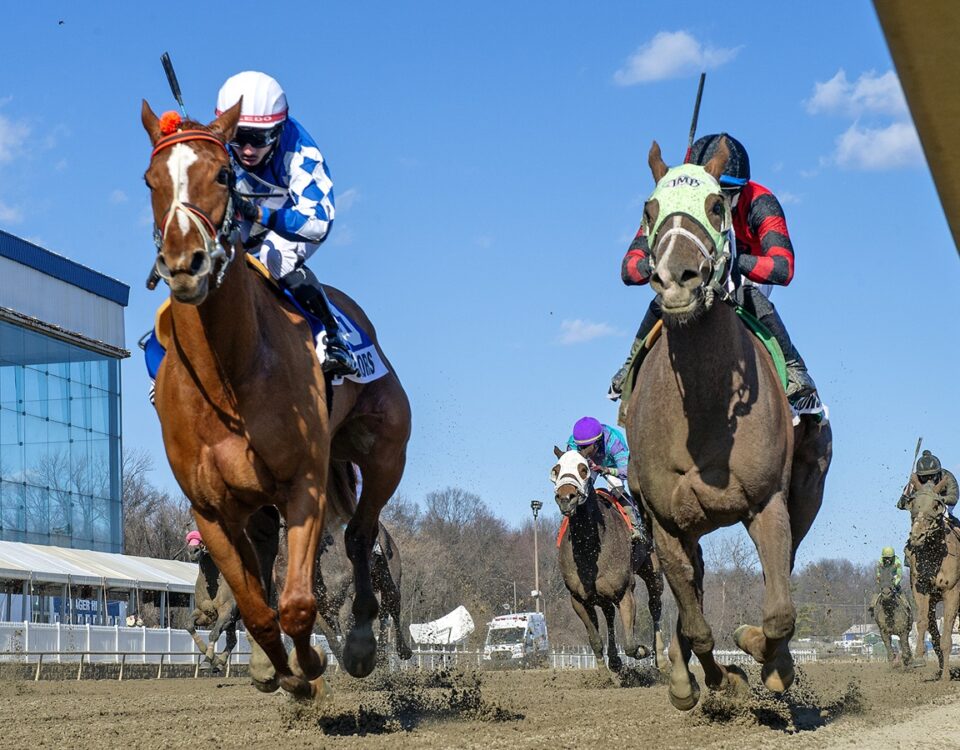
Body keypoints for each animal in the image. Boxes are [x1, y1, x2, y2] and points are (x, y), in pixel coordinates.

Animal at [142, 103, 408, 704]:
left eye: (223, 174)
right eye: (150, 180)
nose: (185, 263)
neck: (227, 374)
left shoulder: (304, 483)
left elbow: (299, 604)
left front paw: (311, 665)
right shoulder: (211, 509)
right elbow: (255, 608)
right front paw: (278, 669)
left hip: (385, 452)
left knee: (360, 534)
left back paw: (363, 644)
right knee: (268, 551)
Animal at [624, 141, 832, 712]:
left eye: (716, 204)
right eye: (649, 210)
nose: (676, 278)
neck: (704, 408)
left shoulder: (766, 502)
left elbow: (779, 611)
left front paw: (769, 662)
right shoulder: (666, 521)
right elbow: (696, 624)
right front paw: (714, 681)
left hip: (807, 492)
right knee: (690, 595)